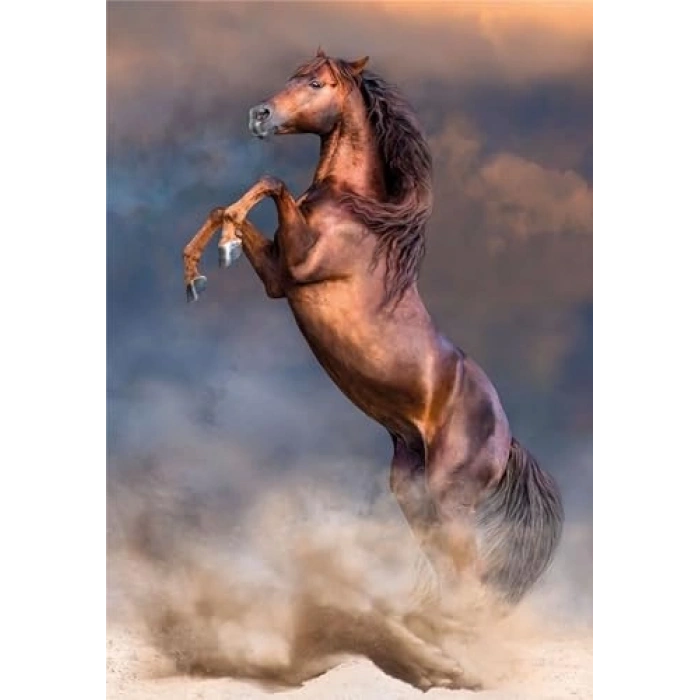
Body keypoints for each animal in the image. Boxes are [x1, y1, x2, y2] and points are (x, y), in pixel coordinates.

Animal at [182, 50, 564, 688]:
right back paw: (432, 648)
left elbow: (271, 182)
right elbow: (231, 205)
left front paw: (220, 251)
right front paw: (200, 267)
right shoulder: (279, 277)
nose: (260, 115)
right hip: (414, 494)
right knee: (453, 579)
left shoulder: (298, 264)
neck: (355, 212)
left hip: (450, 499)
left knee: (470, 579)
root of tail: (507, 438)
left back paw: (456, 659)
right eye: (290, 75)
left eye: (316, 82)